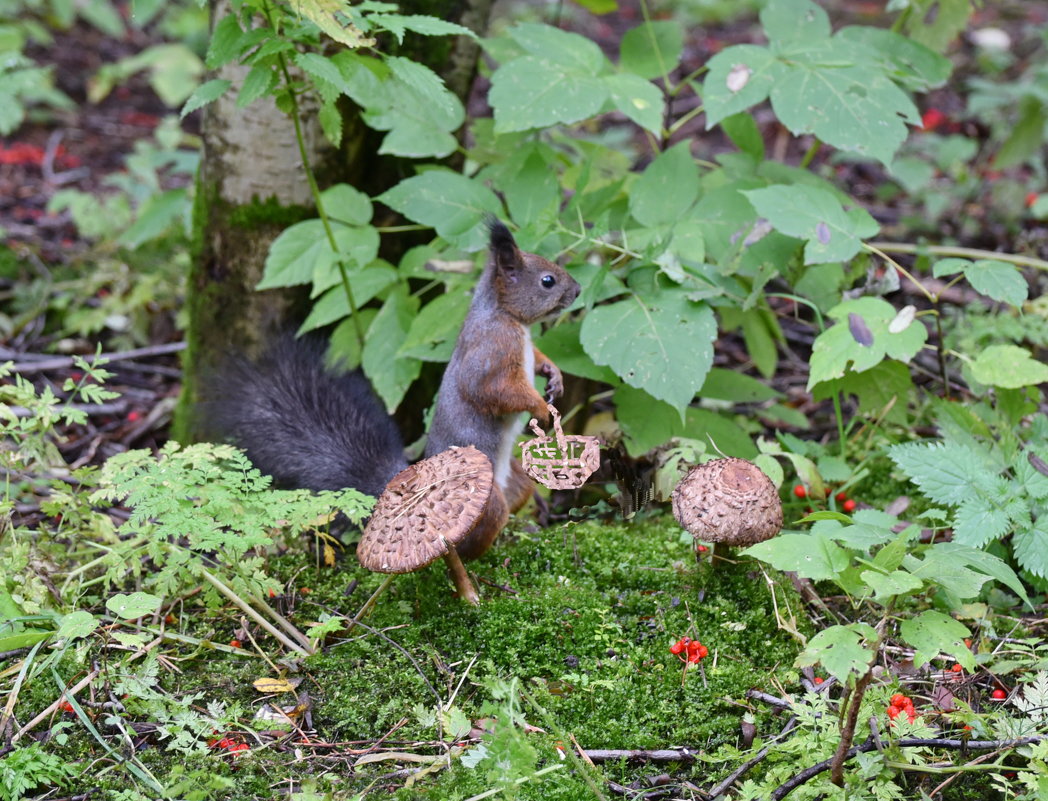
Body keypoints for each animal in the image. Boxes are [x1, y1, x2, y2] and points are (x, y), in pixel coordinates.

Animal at [202, 217, 582, 557]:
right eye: (548, 281)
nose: (578, 290)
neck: (507, 316)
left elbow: (537, 358)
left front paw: (553, 375)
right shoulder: (491, 350)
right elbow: (493, 390)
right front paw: (540, 406)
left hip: (515, 481)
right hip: (485, 500)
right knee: (465, 539)